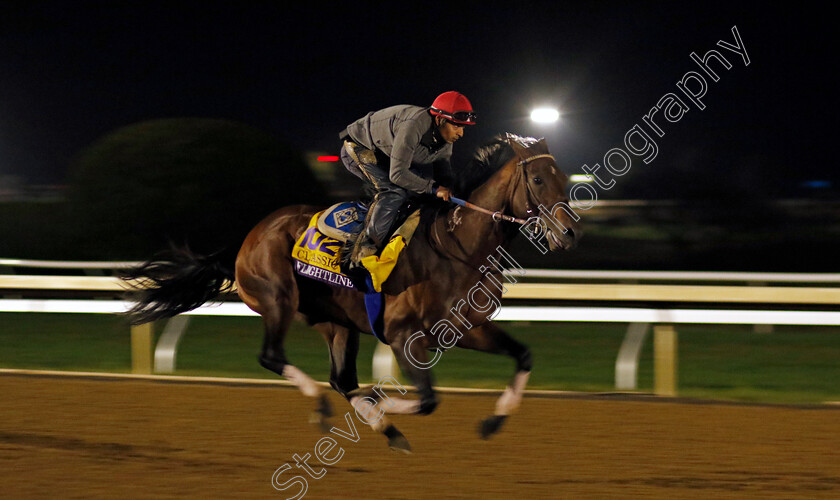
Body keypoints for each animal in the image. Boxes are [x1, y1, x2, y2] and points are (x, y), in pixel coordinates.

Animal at [124, 133, 580, 454]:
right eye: (538, 179)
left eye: (564, 178)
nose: (570, 233)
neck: (456, 245)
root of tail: (247, 238)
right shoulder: (402, 334)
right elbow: (428, 399)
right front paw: (382, 401)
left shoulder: (467, 328)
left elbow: (523, 355)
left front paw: (493, 422)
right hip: (278, 299)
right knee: (274, 357)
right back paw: (331, 408)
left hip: (336, 321)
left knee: (342, 379)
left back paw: (386, 429)